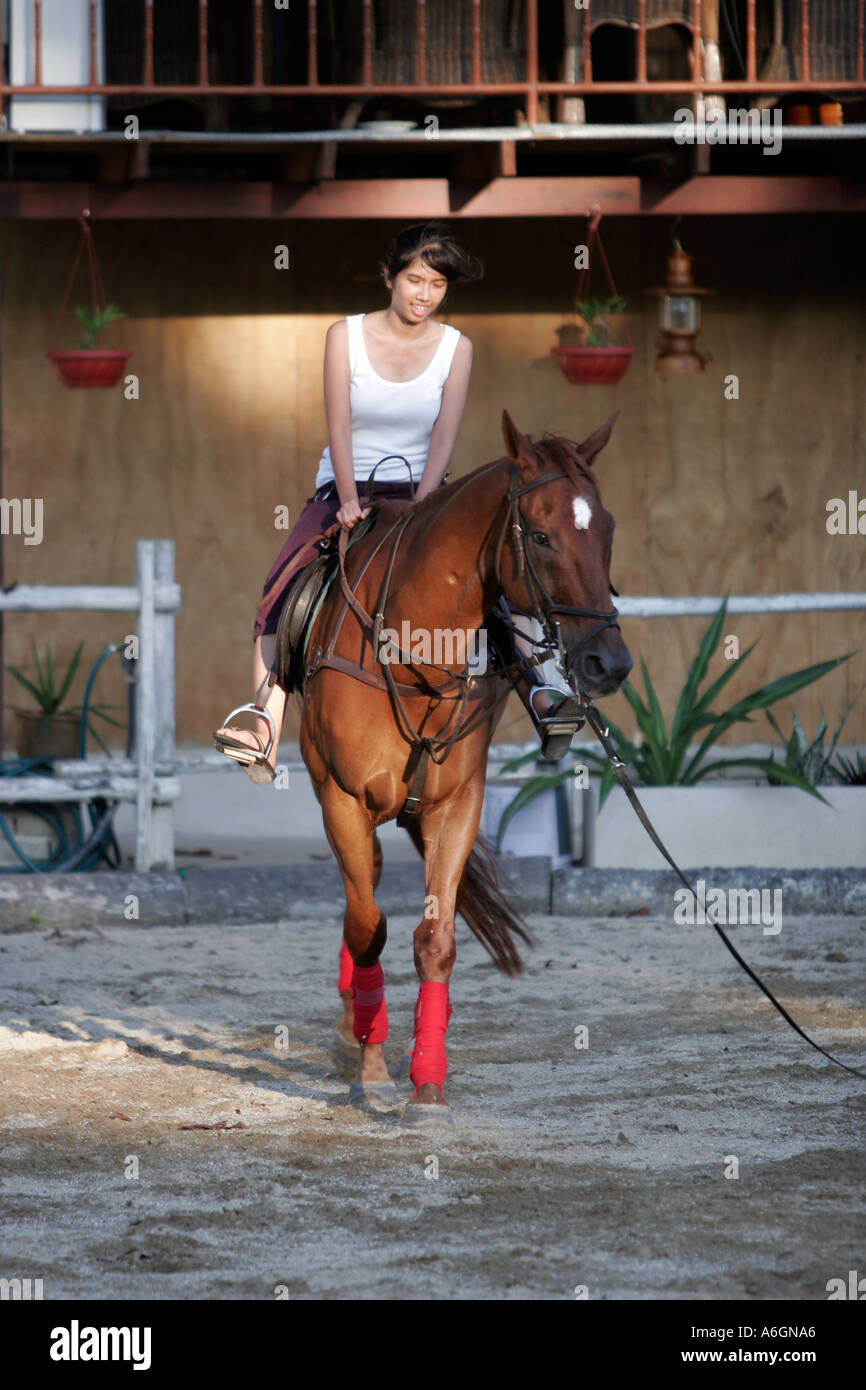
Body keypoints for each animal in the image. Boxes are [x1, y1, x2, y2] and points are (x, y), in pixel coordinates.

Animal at [297, 405, 631, 1123]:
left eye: (608, 530)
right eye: (540, 536)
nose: (609, 663)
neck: (415, 655)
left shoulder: (456, 807)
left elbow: (435, 942)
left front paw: (426, 1083)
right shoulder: (343, 798)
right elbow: (368, 930)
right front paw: (373, 1073)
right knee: (361, 897)